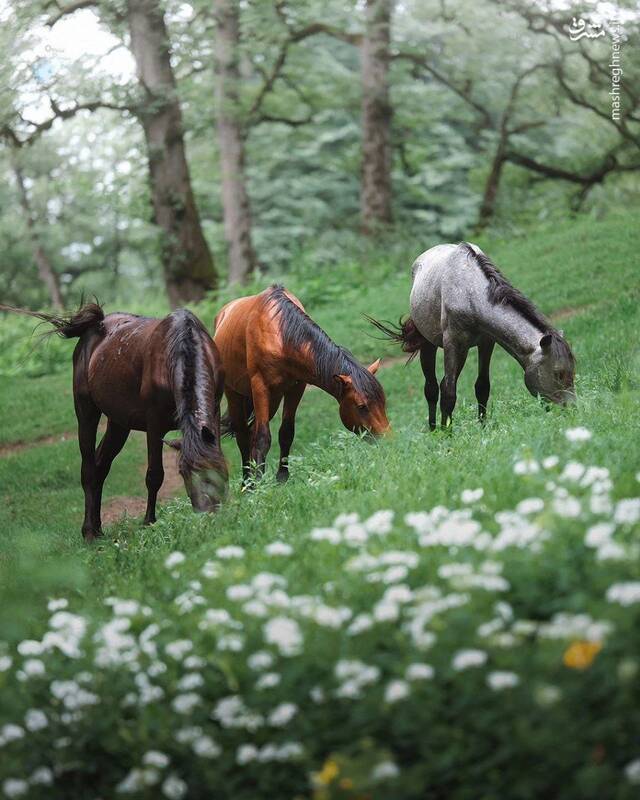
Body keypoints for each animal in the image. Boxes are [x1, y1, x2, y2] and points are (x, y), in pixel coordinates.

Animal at [0, 304, 228, 540]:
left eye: (218, 471)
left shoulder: (214, 411)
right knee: (89, 468)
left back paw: (98, 528)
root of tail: (93, 327)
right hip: (86, 411)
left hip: (119, 423)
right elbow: (154, 475)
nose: (207, 515)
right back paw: (89, 532)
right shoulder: (154, 424)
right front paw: (149, 522)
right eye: (183, 473)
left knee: (101, 464)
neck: (180, 347)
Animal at [214, 284, 390, 482]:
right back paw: (248, 482)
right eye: (361, 406)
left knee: (251, 431)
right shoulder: (260, 387)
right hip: (235, 393)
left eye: (383, 401)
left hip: (274, 398)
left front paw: (282, 477)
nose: (387, 439)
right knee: (243, 435)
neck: (280, 334)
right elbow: (263, 437)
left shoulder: (296, 388)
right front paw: (258, 482)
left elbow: (286, 432)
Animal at [370, 242, 576, 432]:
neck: (470, 293)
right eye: (558, 373)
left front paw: (482, 426)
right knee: (432, 388)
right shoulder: (453, 344)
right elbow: (448, 391)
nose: (571, 409)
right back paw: (434, 429)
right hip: (430, 344)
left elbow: (482, 386)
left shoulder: (487, 342)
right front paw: (447, 434)